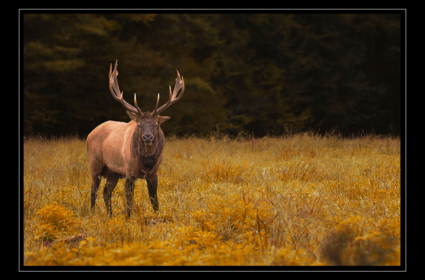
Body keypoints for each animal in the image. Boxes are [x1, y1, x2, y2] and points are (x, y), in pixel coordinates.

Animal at [86, 59, 184, 219]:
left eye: (156, 124)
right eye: (139, 124)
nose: (147, 137)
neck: (146, 163)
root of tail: (90, 134)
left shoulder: (154, 174)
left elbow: (155, 202)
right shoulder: (129, 172)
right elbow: (129, 202)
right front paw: (127, 220)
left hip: (113, 172)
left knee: (106, 192)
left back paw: (110, 216)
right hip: (95, 163)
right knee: (93, 190)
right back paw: (92, 214)